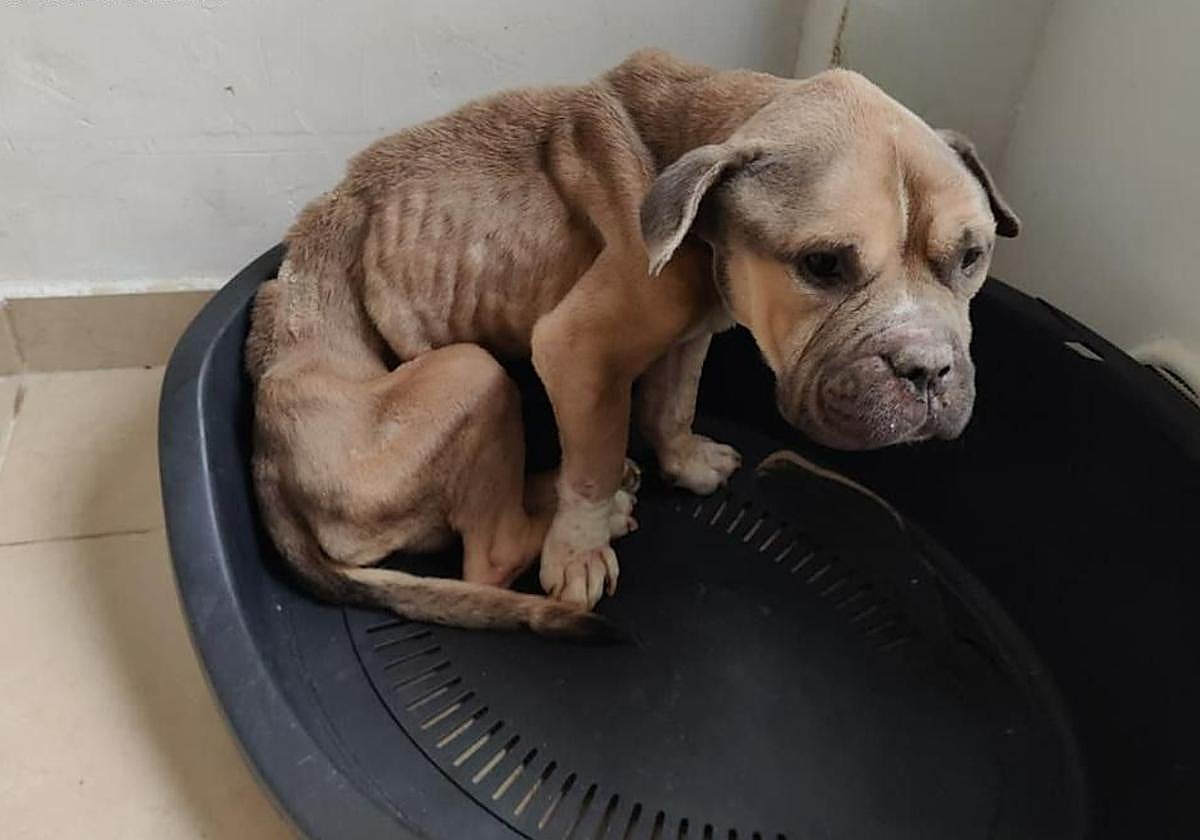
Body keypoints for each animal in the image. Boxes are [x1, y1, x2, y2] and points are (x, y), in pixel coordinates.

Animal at [245, 49, 1019, 636]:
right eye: (823, 265)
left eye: (972, 256)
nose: (926, 369)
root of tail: (268, 470)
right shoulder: (577, 352)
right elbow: (595, 452)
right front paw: (580, 551)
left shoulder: (688, 334)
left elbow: (669, 407)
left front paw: (684, 461)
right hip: (470, 372)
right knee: (492, 554)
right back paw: (591, 511)